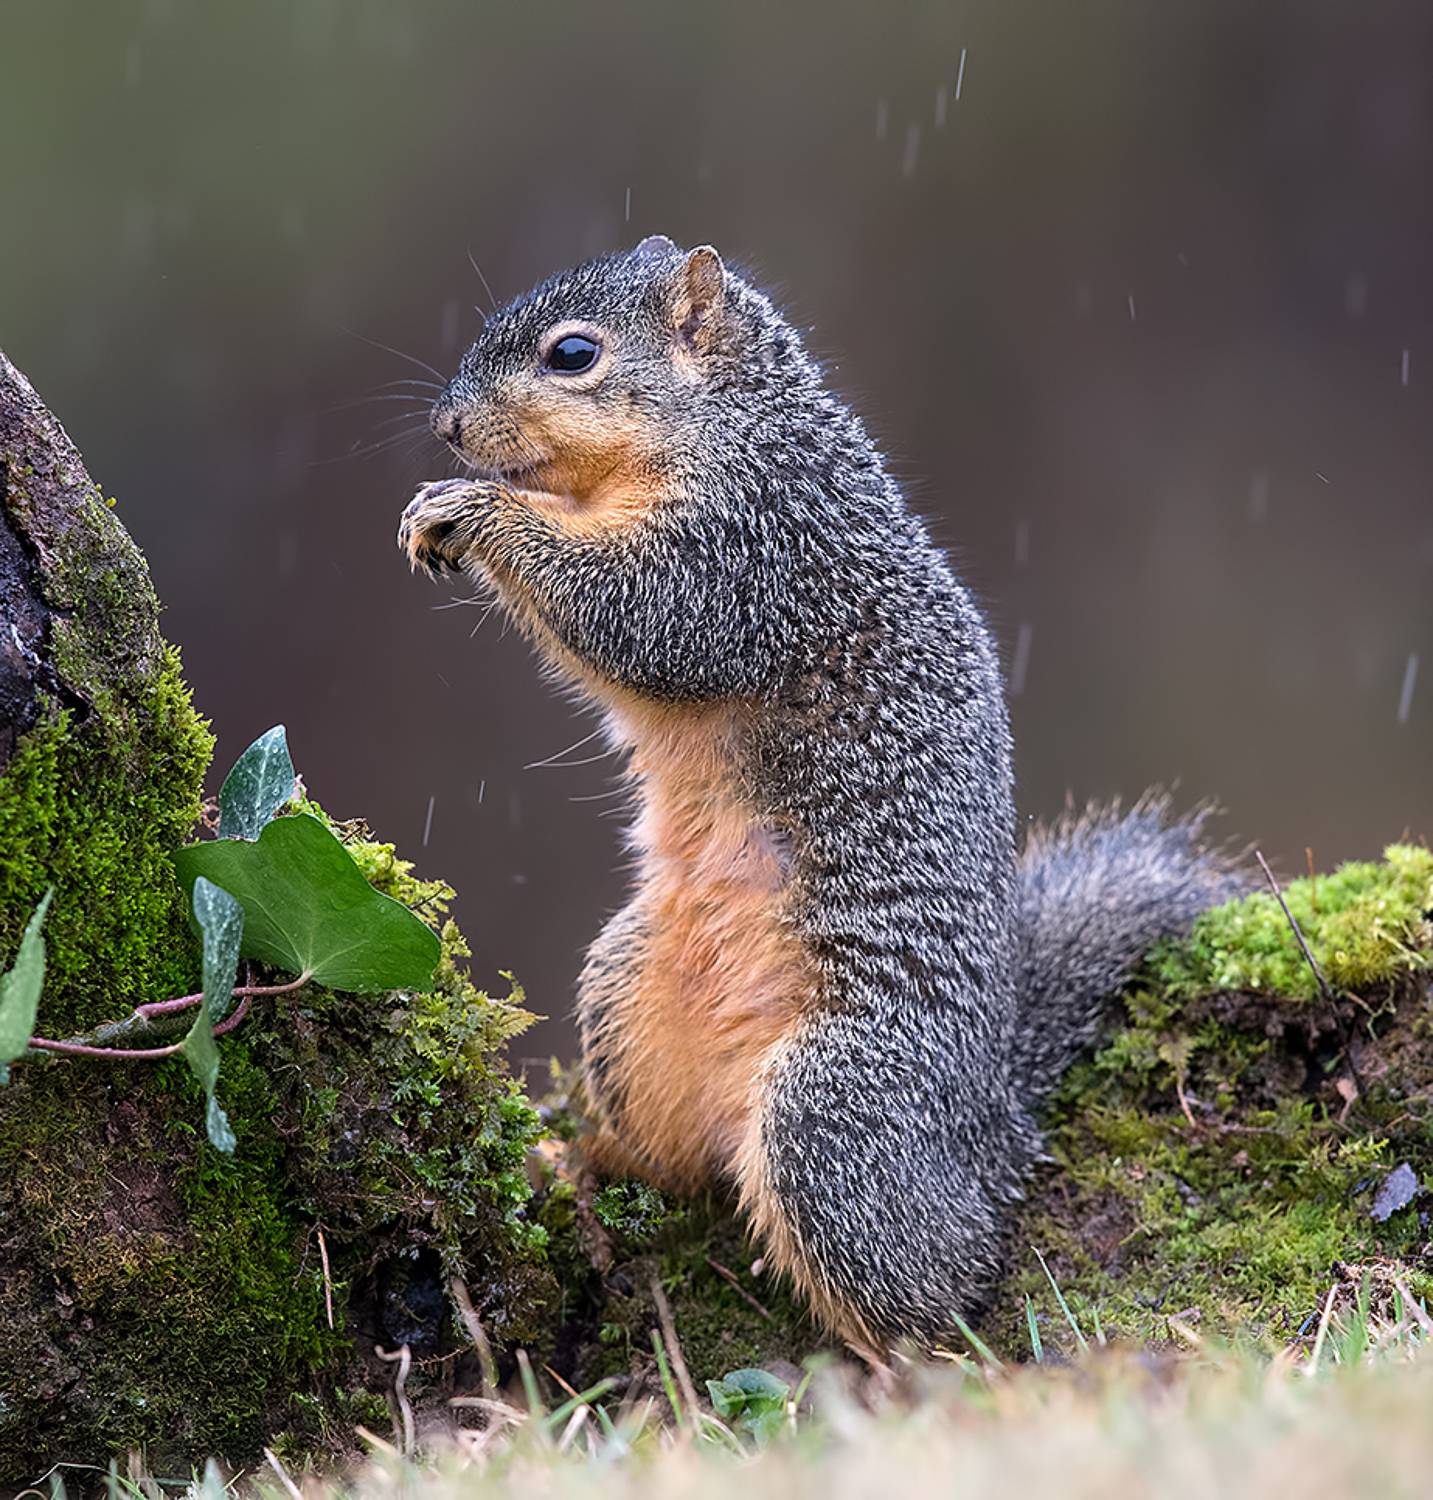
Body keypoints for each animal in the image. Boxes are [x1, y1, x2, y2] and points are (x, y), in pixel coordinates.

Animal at [397, 236, 1239, 1354]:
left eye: (573, 354)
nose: (447, 425)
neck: (736, 419)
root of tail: (994, 1122)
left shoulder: (748, 548)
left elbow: (638, 615)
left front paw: (475, 508)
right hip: (625, 992)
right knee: (676, 1164)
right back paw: (576, 1164)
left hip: (835, 1108)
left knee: (940, 1280)